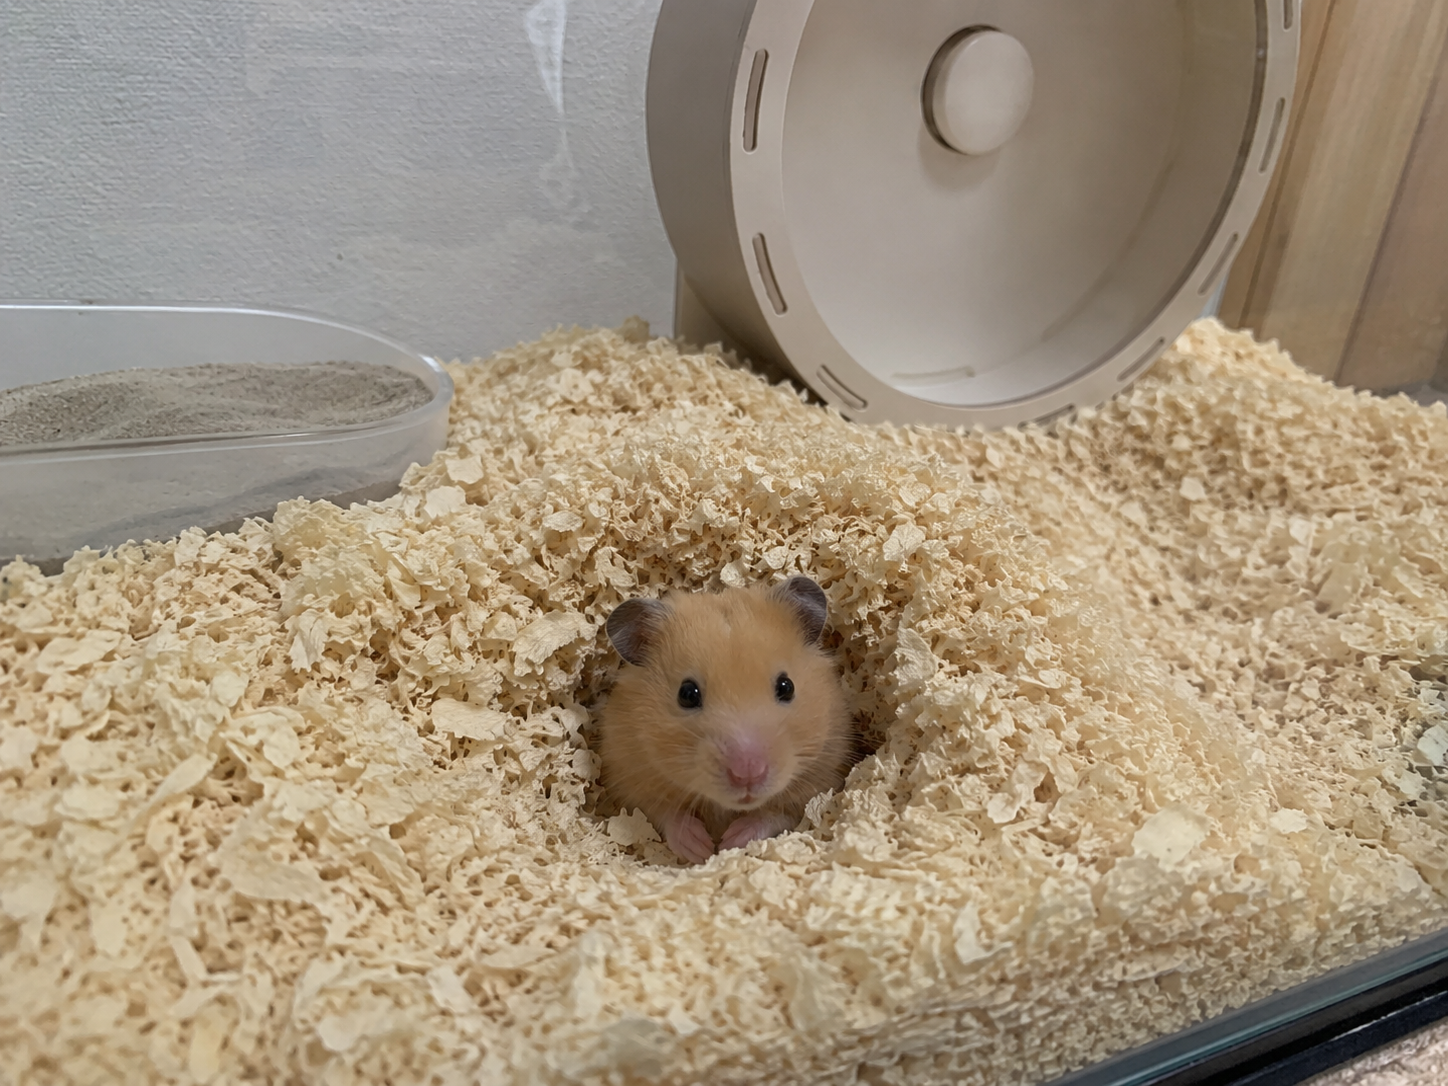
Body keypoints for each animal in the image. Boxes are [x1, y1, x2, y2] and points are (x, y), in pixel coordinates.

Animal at [598, 575, 854, 864]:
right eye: (687, 694)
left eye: (787, 687)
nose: (747, 775)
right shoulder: (629, 779)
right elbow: (664, 814)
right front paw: (700, 848)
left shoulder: (821, 778)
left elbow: (776, 814)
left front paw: (732, 841)